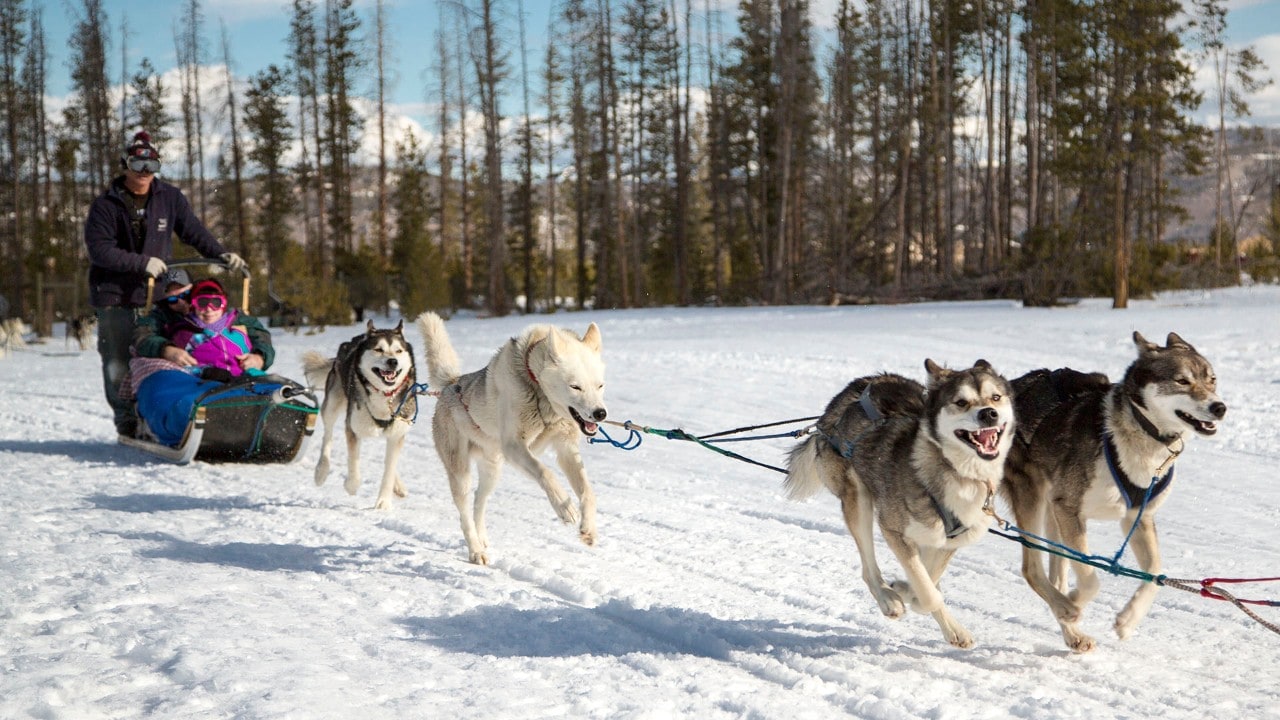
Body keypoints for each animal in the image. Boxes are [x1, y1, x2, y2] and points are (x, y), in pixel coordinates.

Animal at [300, 316, 417, 507]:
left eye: (398, 351)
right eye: (378, 349)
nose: (393, 361)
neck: (384, 396)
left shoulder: (397, 434)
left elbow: (389, 469)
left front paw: (383, 503)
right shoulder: (353, 429)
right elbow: (353, 462)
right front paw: (351, 486)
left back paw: (398, 486)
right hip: (332, 405)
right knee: (327, 435)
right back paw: (321, 471)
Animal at [412, 311, 606, 563]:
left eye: (600, 386)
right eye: (575, 387)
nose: (600, 413)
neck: (539, 392)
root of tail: (451, 384)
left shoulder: (565, 449)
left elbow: (588, 492)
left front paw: (588, 529)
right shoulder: (515, 446)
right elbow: (545, 472)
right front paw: (564, 507)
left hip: (493, 469)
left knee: (479, 500)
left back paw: (482, 538)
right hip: (460, 474)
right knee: (465, 513)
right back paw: (476, 550)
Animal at [783, 358, 1013, 645]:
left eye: (996, 397)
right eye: (961, 402)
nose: (988, 414)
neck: (959, 474)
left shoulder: (947, 542)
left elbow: (926, 581)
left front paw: (907, 589)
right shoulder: (894, 531)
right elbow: (928, 593)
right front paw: (902, 592)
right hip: (858, 500)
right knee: (868, 567)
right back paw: (887, 599)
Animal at [1003, 330, 1223, 650]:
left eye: (1212, 379)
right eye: (1182, 380)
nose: (1220, 407)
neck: (1138, 433)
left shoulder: (1137, 516)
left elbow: (1153, 570)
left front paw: (1128, 620)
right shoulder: (1070, 510)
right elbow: (1090, 578)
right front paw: (1074, 603)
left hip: (1052, 512)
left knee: (1055, 577)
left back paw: (1072, 632)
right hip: (1033, 499)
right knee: (1031, 569)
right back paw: (1066, 608)